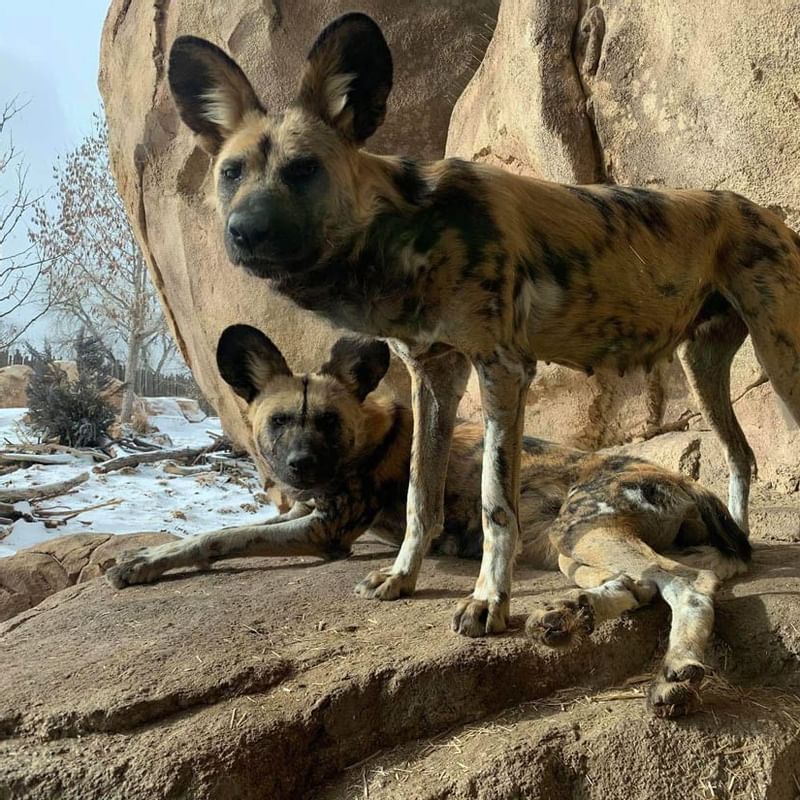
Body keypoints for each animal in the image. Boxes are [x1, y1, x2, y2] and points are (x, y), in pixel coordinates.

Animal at [108, 324, 752, 720]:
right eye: (281, 421)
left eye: (328, 422)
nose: (301, 466)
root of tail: (692, 482)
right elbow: (213, 532)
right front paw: (142, 562)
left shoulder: (323, 529)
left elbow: (219, 536)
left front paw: (147, 561)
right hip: (570, 546)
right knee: (642, 585)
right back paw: (567, 616)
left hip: (583, 528)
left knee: (689, 586)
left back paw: (674, 675)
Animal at [164, 12, 800, 636]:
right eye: (231, 173)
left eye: (304, 170)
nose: (246, 232)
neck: (408, 229)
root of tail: (770, 216)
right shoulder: (434, 373)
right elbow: (422, 496)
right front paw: (402, 579)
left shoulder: (502, 369)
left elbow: (497, 503)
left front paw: (489, 601)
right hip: (701, 368)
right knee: (738, 460)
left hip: (779, 365)